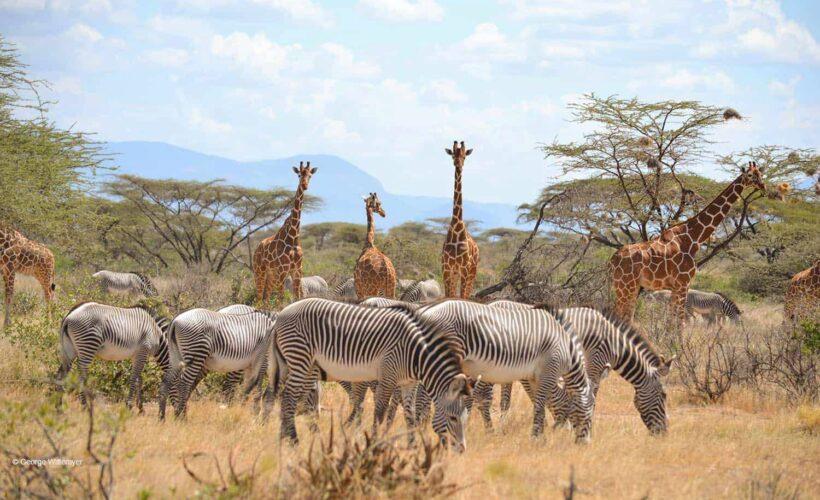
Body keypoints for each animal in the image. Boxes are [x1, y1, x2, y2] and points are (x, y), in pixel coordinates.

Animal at [262, 298, 473, 451]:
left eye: (465, 419)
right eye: (453, 418)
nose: (461, 450)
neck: (415, 353)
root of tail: (281, 315)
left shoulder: (408, 383)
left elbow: (410, 415)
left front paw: (413, 447)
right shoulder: (388, 376)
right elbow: (380, 413)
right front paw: (374, 444)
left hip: (298, 365)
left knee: (286, 398)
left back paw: (283, 439)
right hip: (300, 359)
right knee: (288, 398)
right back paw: (294, 442)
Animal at [417, 299, 595, 442]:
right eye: (591, 411)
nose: (585, 443)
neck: (567, 349)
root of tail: (426, 310)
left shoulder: (535, 378)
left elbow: (541, 404)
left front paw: (540, 435)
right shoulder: (549, 371)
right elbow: (540, 406)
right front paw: (536, 438)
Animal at [480, 300, 674, 433]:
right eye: (664, 395)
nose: (664, 432)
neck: (613, 343)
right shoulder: (594, 364)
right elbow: (589, 397)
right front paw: (577, 425)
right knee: (485, 395)